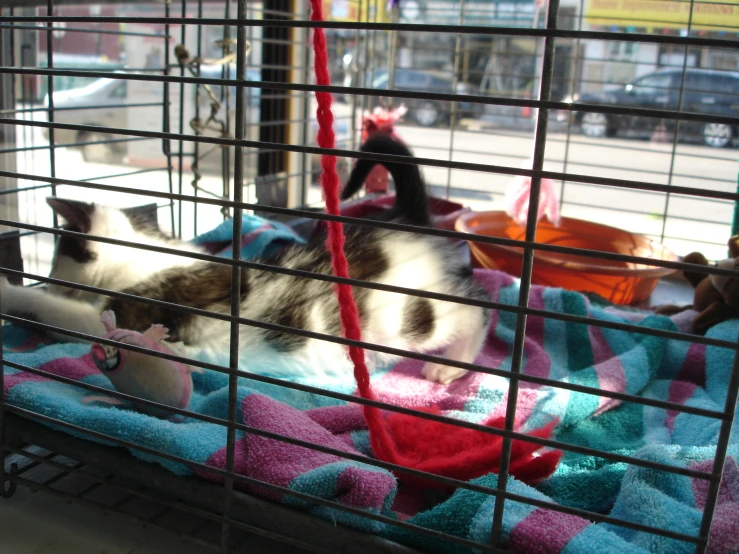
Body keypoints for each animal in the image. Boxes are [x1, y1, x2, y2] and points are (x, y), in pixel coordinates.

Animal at [1, 136, 492, 382]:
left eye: (55, 259)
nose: (49, 275)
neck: (146, 258)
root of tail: (402, 221)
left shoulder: (126, 315)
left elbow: (60, 312)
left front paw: (12, 291)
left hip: (408, 314)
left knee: (475, 310)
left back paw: (449, 366)